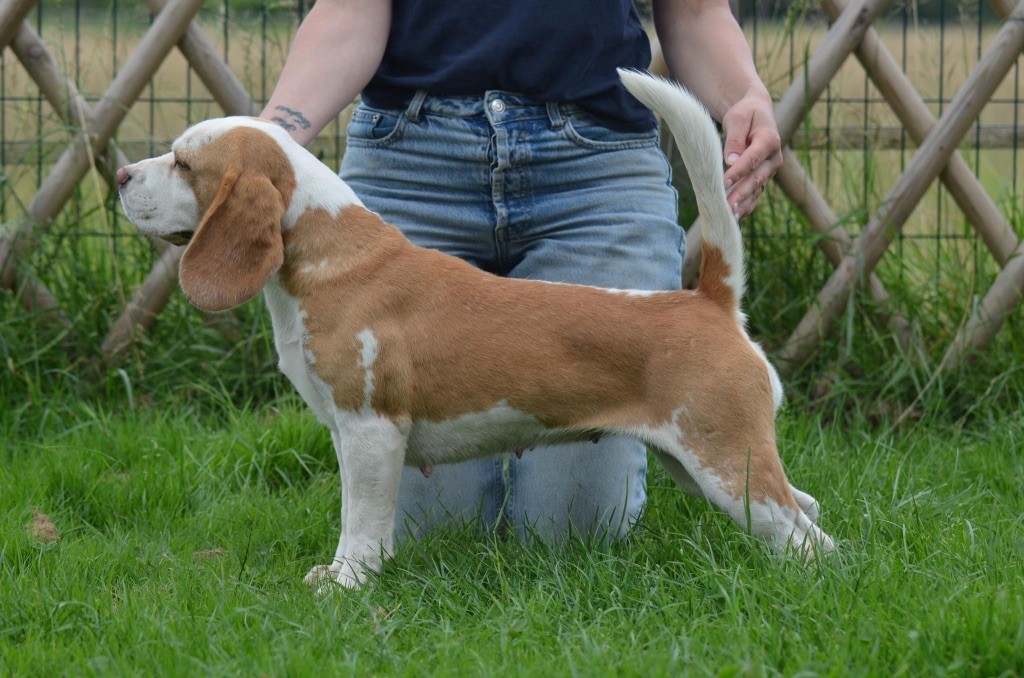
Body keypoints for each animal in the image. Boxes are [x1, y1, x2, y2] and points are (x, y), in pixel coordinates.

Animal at [116, 70, 835, 589]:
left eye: (184, 163)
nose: (120, 175)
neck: (329, 255)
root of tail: (711, 302)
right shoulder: (351, 433)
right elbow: (354, 517)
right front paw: (341, 576)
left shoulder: (371, 431)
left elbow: (362, 522)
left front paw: (347, 585)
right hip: (697, 463)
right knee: (811, 516)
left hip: (726, 464)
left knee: (804, 537)